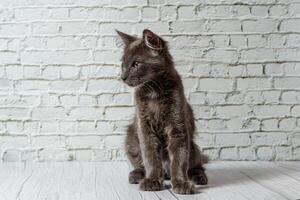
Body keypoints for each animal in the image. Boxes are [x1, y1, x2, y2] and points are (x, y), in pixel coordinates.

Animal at [116, 28, 207, 194]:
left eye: (136, 64)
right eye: (122, 64)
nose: (123, 77)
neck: (154, 92)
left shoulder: (178, 125)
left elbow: (179, 158)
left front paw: (181, 183)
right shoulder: (143, 126)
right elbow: (150, 156)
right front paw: (152, 180)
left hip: (193, 147)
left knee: (197, 164)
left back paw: (199, 176)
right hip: (130, 138)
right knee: (138, 162)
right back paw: (137, 174)